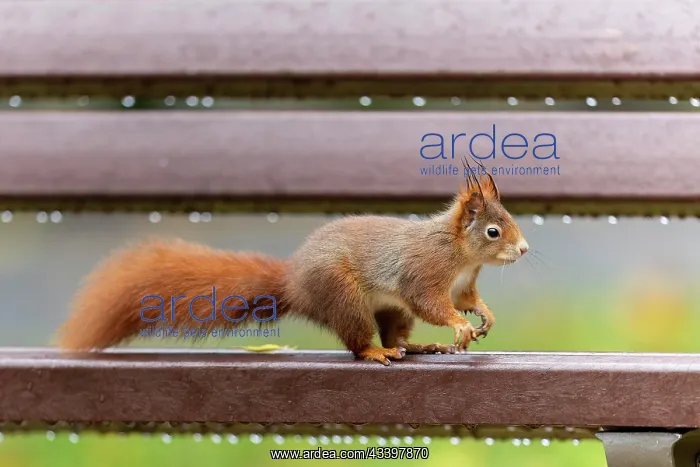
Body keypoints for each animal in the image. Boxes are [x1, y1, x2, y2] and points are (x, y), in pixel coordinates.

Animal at [56, 160, 529, 365]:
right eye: (493, 231)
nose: (524, 250)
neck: (459, 253)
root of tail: (294, 282)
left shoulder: (463, 283)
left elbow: (467, 299)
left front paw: (483, 315)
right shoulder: (424, 272)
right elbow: (431, 303)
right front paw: (459, 325)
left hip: (387, 309)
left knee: (396, 330)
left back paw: (414, 346)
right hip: (342, 295)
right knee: (357, 340)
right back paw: (376, 352)